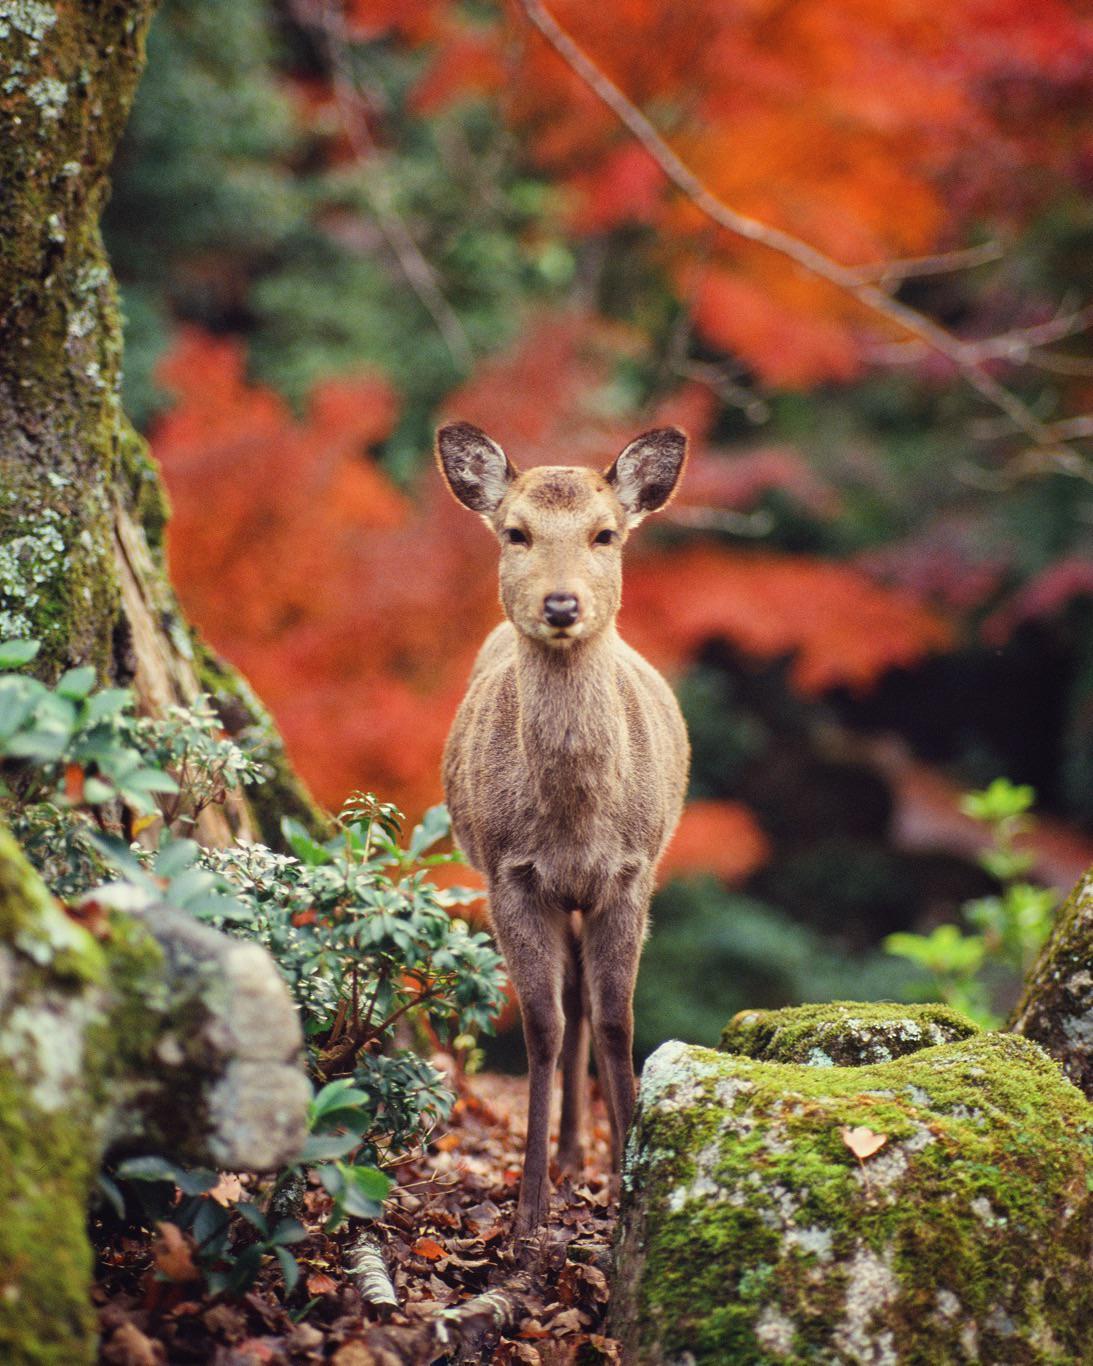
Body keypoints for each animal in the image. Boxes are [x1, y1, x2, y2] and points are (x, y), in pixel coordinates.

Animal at [436, 421, 690, 1235]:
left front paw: (627, 1185)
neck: (575, 822)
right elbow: (542, 1026)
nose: (559, 603)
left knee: (586, 998)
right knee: (569, 997)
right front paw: (528, 1212)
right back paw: (572, 1153)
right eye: (515, 532)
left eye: (604, 533)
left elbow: (617, 1021)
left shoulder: (632, 872)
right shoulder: (508, 874)